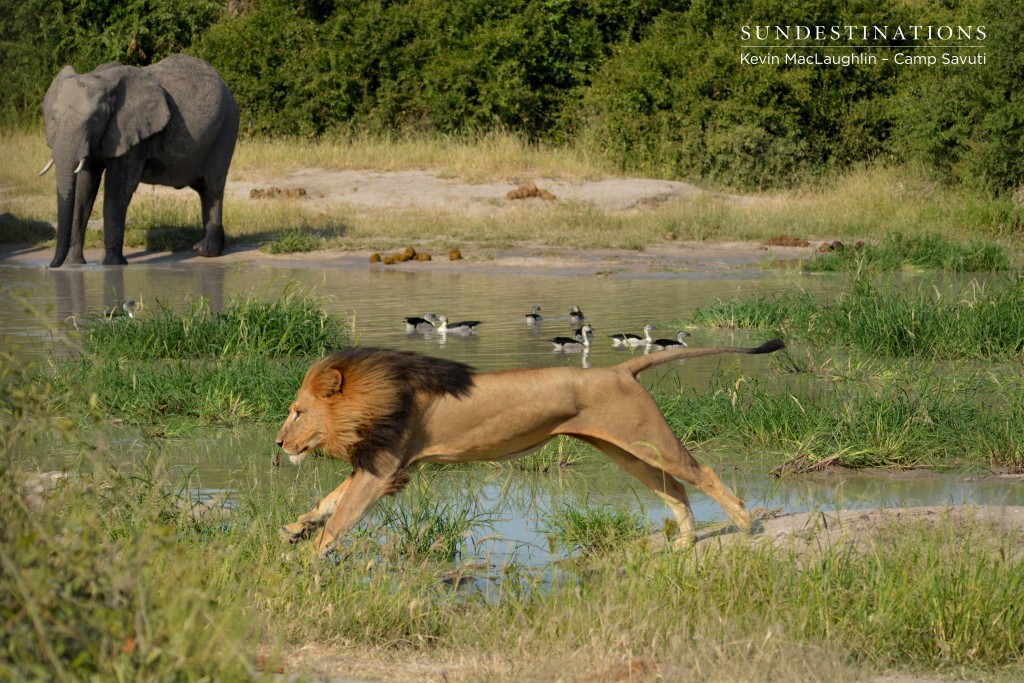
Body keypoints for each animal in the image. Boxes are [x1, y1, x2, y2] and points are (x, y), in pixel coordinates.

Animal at [40, 54, 238, 266]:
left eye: (94, 120)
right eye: (53, 118)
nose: (50, 266)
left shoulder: (131, 134)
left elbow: (117, 188)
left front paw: (111, 265)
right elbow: (84, 188)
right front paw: (74, 264)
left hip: (226, 127)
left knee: (212, 187)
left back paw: (206, 251)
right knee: (202, 188)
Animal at [274, 339, 782, 557]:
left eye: (297, 411)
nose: (278, 442)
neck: (375, 395)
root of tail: (620, 369)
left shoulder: (383, 468)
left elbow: (341, 518)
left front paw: (306, 561)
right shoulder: (377, 465)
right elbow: (329, 501)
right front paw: (294, 530)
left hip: (649, 440)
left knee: (702, 474)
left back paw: (745, 524)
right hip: (626, 450)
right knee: (673, 488)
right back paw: (685, 541)